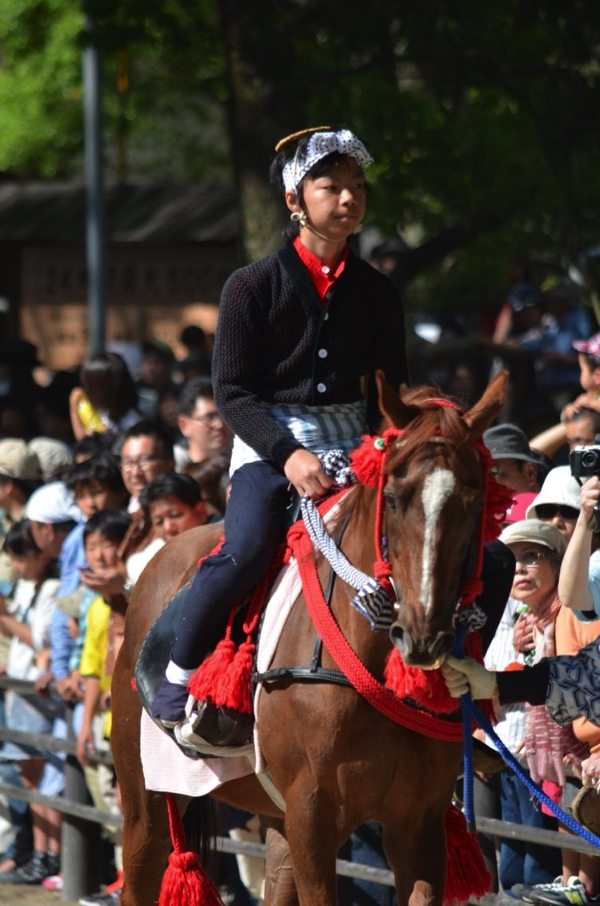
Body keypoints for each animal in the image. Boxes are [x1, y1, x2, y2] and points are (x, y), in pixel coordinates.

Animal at [111, 368, 506, 904]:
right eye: (393, 498)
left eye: (473, 500)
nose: (423, 634)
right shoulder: (313, 818)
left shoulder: (418, 823)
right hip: (144, 800)